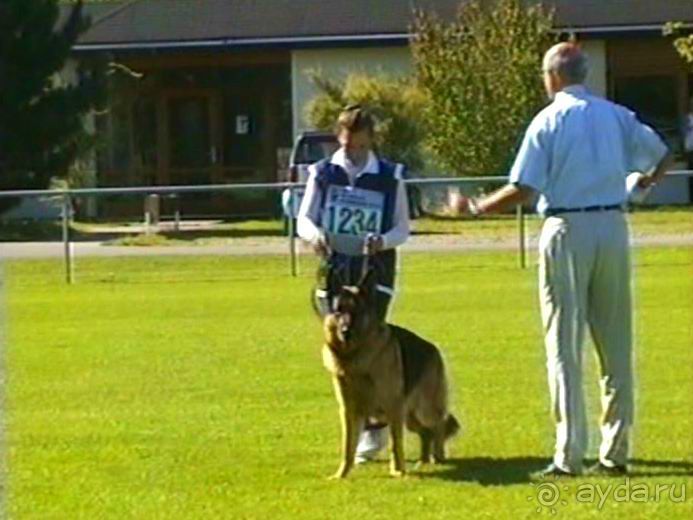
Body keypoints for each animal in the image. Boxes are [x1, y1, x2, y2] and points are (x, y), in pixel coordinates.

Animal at [320, 272, 460, 480]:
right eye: (339, 311)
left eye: (357, 311)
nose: (345, 332)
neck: (355, 357)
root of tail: (433, 348)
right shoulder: (348, 411)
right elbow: (347, 447)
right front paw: (341, 474)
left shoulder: (393, 408)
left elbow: (395, 443)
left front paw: (398, 471)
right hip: (410, 417)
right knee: (425, 433)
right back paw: (423, 460)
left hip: (424, 410)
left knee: (439, 426)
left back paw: (438, 456)